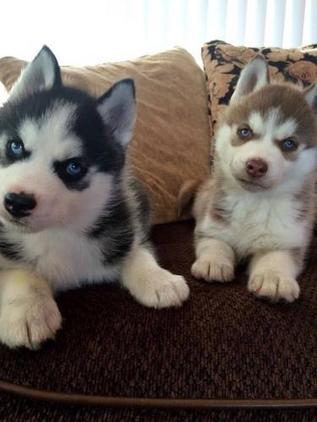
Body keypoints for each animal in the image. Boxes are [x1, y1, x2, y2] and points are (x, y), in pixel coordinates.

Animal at [0, 47, 188, 350]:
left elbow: (137, 251)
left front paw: (159, 279)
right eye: (15, 146)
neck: (59, 232)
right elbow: (19, 271)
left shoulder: (124, 225)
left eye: (74, 167)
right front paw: (29, 311)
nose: (17, 202)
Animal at [190, 56, 316, 302]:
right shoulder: (210, 225)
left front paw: (273, 278)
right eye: (244, 131)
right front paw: (213, 262)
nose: (256, 166)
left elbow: (276, 257)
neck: (253, 203)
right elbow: (215, 243)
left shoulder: (288, 240)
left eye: (289, 143)